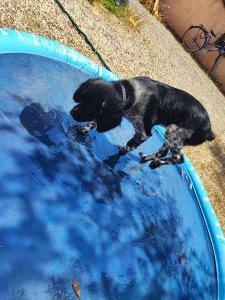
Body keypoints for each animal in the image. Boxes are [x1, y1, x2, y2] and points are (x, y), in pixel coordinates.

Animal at [70, 77, 214, 169]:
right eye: (82, 99)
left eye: (90, 107)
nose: (72, 113)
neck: (131, 94)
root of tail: (209, 131)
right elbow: (95, 121)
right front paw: (83, 129)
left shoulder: (144, 133)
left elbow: (130, 144)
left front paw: (122, 152)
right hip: (173, 136)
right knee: (164, 153)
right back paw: (149, 158)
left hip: (173, 131)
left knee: (179, 158)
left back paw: (157, 163)